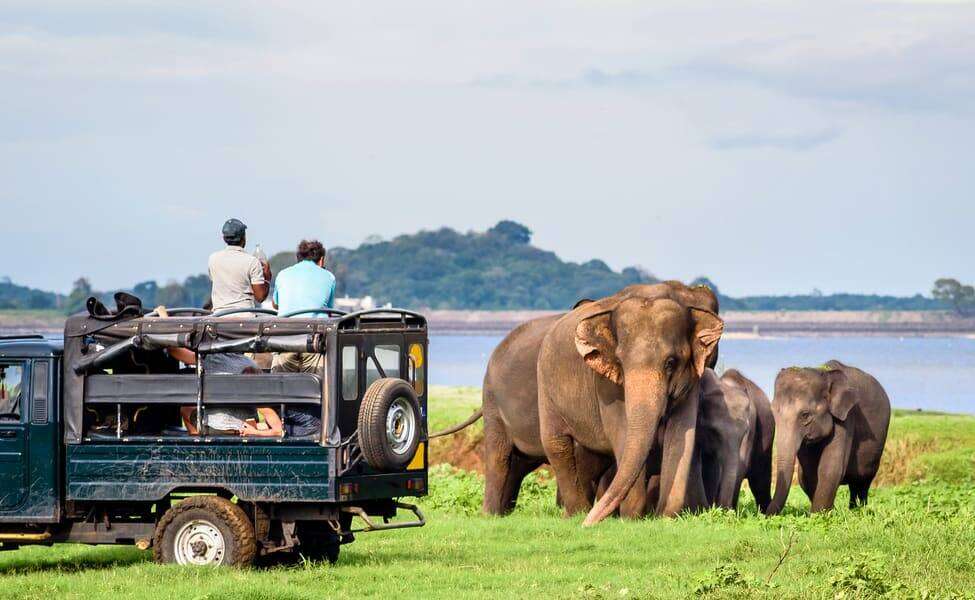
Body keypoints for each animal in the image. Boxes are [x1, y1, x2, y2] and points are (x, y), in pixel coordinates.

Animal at [536, 288, 720, 524]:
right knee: (556, 444)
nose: (588, 526)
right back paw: (577, 514)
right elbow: (622, 433)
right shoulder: (605, 384)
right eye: (621, 363)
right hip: (545, 388)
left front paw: (665, 517)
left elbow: (682, 435)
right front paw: (631, 518)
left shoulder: (692, 380)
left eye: (670, 363)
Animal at [772, 358, 892, 512]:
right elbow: (807, 474)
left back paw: (859, 510)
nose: (764, 514)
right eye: (773, 411)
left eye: (805, 415)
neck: (824, 373)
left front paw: (819, 514)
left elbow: (830, 467)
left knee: (862, 482)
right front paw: (829, 511)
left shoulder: (847, 416)